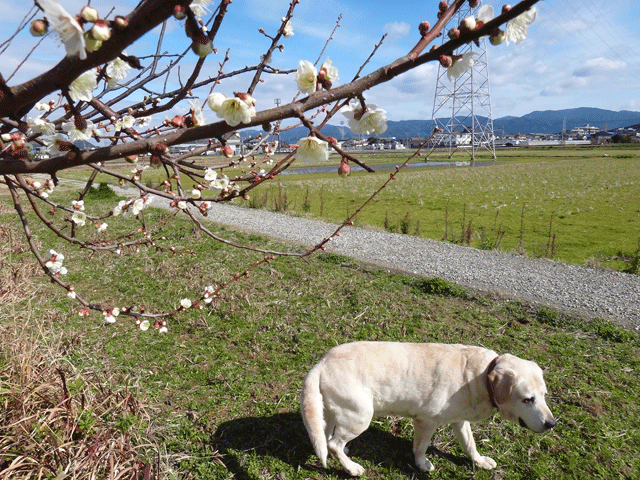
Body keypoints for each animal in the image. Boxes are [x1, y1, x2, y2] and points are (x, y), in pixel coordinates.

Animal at [300, 342, 556, 476]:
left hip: (334, 412)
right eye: (527, 399)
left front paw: (479, 461)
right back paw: (352, 468)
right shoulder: (426, 421)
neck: (482, 376)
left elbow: (470, 445)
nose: (552, 424)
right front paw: (422, 465)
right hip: (360, 416)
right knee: (333, 444)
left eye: (544, 396)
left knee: (326, 438)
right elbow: (421, 448)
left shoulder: (460, 422)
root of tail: (321, 363)